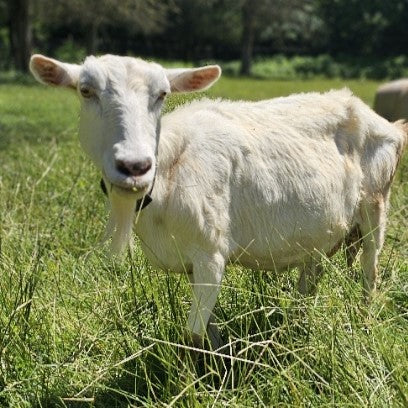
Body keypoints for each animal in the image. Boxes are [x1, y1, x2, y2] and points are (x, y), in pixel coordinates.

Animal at [30, 53, 406, 348]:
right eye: (86, 91)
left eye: (162, 94)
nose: (134, 166)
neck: (170, 170)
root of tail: (383, 121)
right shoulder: (190, 264)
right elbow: (207, 331)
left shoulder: (211, 251)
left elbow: (192, 336)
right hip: (319, 232)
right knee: (309, 280)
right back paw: (294, 330)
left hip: (375, 207)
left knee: (369, 275)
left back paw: (363, 325)